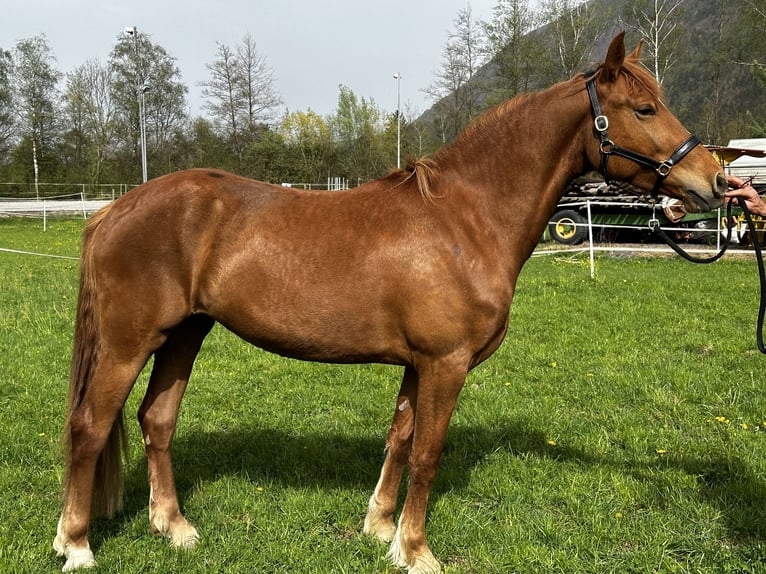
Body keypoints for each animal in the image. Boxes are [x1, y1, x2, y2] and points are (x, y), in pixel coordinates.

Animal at [57, 33, 728, 572]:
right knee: (90, 426)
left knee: (156, 421)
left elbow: (400, 439)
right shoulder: (446, 363)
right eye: (644, 108)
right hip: (129, 342)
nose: (715, 180)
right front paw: (417, 551)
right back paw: (77, 544)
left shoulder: (417, 364)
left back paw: (173, 528)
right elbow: (428, 453)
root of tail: (115, 209)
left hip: (185, 335)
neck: (465, 220)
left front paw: (380, 530)